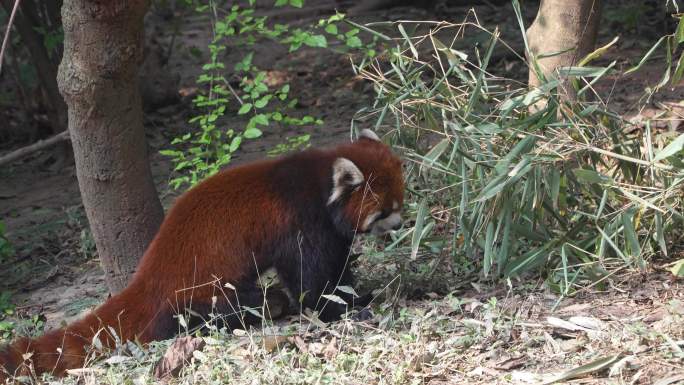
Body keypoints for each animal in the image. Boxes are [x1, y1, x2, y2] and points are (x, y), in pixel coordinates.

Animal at [0, 128, 404, 378]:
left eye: (401, 203)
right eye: (384, 211)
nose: (401, 226)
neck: (318, 182)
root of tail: (149, 275)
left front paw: (359, 292)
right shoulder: (299, 221)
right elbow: (312, 279)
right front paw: (346, 307)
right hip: (202, 285)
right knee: (228, 306)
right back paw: (260, 308)